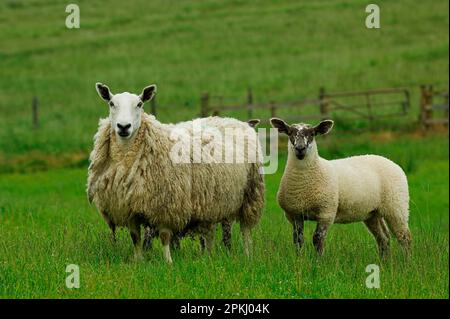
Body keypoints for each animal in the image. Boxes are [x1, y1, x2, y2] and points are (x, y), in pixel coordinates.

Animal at [87, 83, 264, 264]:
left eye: (139, 104)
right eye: (111, 103)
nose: (123, 127)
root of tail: (233, 120)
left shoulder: (167, 205)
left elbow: (165, 236)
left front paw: (168, 262)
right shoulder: (127, 208)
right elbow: (135, 237)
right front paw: (138, 261)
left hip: (251, 193)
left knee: (245, 230)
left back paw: (248, 255)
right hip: (211, 200)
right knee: (209, 234)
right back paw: (208, 257)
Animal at [270, 117, 412, 260]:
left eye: (312, 133)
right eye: (290, 133)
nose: (300, 148)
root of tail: (390, 161)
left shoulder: (326, 212)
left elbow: (317, 239)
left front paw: (318, 262)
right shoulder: (295, 214)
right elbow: (298, 240)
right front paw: (299, 260)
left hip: (396, 206)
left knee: (404, 237)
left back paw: (407, 261)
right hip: (372, 213)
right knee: (383, 238)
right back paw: (385, 261)